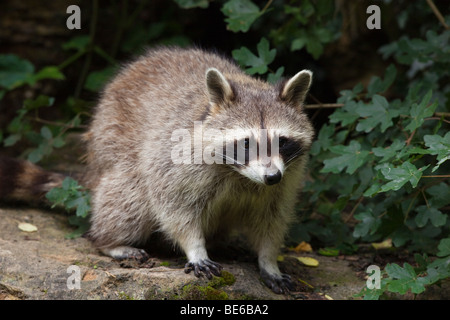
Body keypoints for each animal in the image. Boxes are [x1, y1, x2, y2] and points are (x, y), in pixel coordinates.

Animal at [0, 47, 314, 296]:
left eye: (282, 142)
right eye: (246, 143)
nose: (271, 177)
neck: (241, 176)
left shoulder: (287, 178)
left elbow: (272, 219)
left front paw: (268, 260)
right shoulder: (175, 159)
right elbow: (174, 206)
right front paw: (195, 247)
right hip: (113, 142)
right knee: (130, 198)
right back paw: (109, 241)